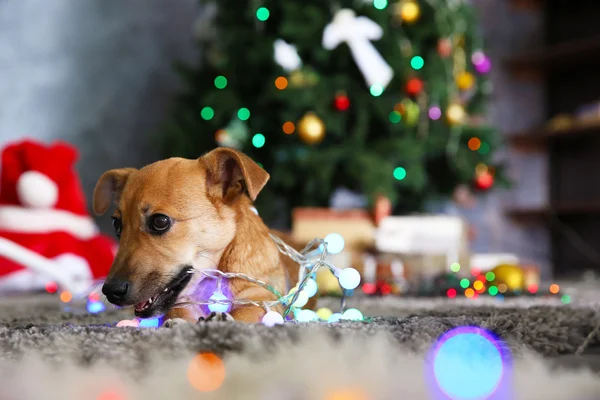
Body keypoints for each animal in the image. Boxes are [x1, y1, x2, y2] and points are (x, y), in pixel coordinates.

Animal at [94, 147, 312, 324]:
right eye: (116, 224)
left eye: (160, 221)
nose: (110, 292)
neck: (212, 282)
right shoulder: (181, 304)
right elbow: (176, 313)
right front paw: (177, 323)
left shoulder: (260, 298)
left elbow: (245, 313)